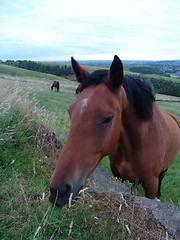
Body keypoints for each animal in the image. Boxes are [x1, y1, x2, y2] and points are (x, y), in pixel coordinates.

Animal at [49, 54, 180, 206]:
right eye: (70, 111)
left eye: (108, 118)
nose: (58, 192)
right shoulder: (118, 175)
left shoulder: (151, 186)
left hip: (163, 171)